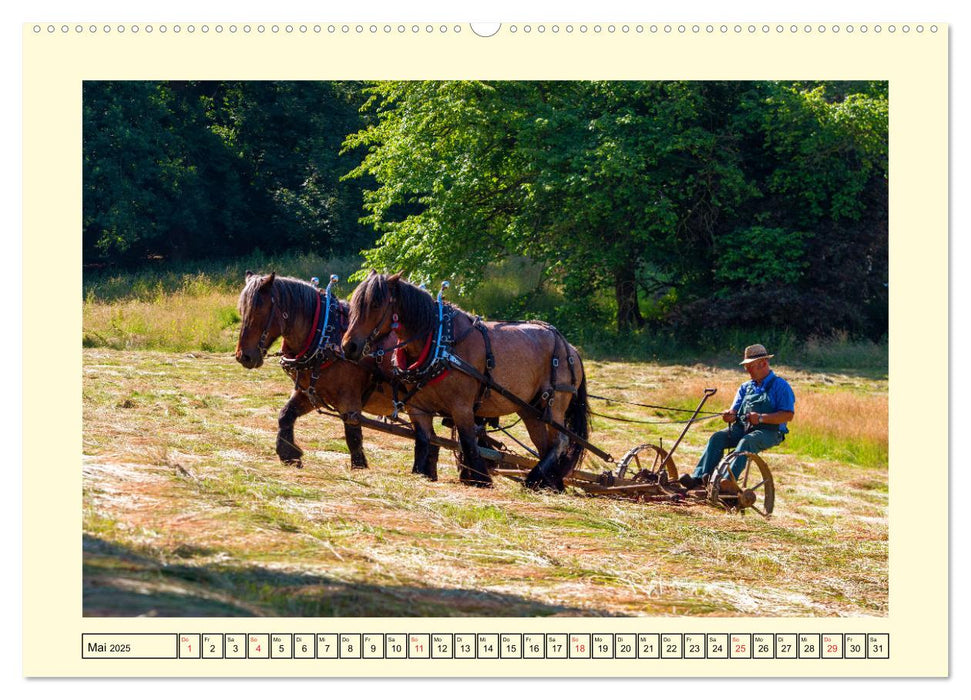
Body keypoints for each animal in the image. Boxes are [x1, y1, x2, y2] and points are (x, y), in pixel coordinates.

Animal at [239, 270, 432, 474]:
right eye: (241, 310)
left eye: (259, 309)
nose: (244, 356)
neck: (325, 337)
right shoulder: (310, 393)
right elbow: (285, 415)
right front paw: (289, 454)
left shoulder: (349, 400)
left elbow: (353, 436)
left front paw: (359, 466)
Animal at [342, 270, 588, 490]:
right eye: (355, 303)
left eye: (375, 304)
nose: (348, 346)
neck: (440, 343)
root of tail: (572, 349)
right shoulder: (417, 408)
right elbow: (423, 441)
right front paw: (421, 473)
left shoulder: (461, 407)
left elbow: (469, 442)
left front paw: (481, 479)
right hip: (530, 409)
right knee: (545, 445)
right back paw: (549, 482)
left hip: (554, 403)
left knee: (561, 441)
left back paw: (535, 479)